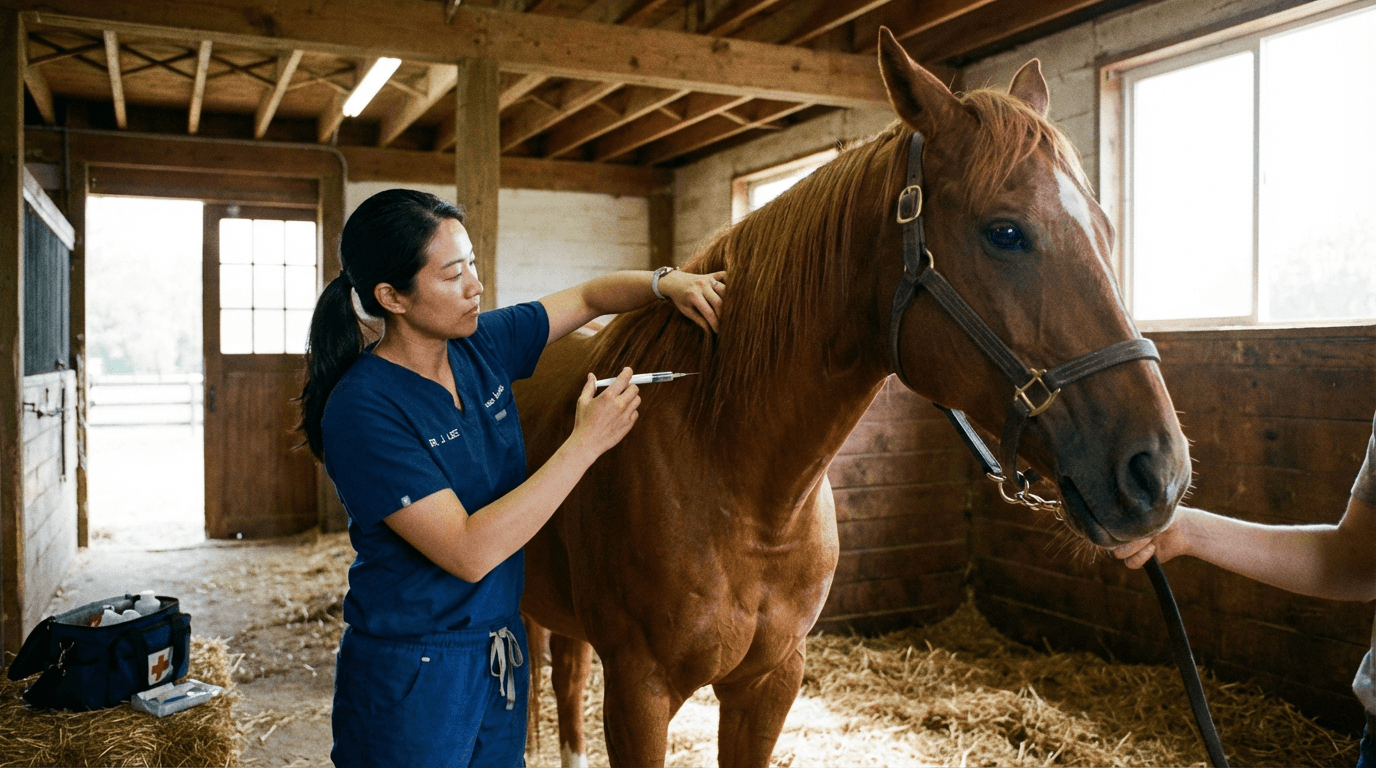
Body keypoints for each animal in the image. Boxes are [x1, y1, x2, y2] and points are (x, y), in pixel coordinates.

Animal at [512, 28, 1191, 768]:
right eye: (1005, 231)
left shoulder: (771, 681)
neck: (737, 488)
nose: (1158, 472)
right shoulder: (640, 692)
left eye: (1106, 229)